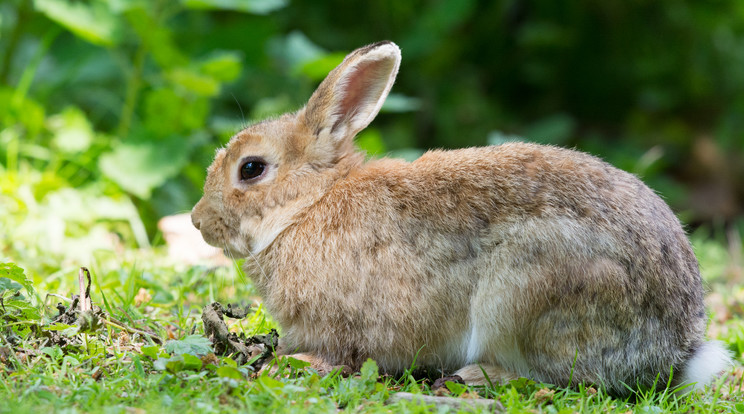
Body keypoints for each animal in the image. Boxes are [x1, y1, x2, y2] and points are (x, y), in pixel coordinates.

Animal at [189, 40, 728, 396]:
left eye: (251, 169)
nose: (197, 221)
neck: (308, 204)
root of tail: (673, 348)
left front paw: (296, 362)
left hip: (527, 292)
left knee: (572, 380)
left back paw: (476, 376)